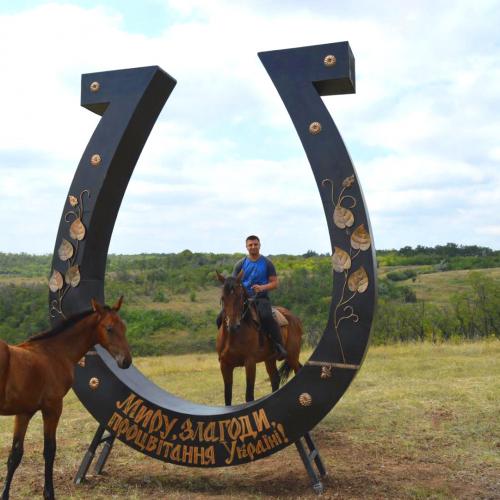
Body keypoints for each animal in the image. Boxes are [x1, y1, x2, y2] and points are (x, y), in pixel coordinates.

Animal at [0, 296, 131, 500]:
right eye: (109, 328)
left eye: (123, 327)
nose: (126, 361)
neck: (54, 353)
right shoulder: (53, 408)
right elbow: (49, 450)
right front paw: (49, 494)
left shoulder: (24, 412)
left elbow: (15, 455)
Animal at [214, 270, 300, 406]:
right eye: (223, 298)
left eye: (240, 297)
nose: (233, 325)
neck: (232, 337)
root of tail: (293, 317)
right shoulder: (225, 364)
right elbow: (227, 397)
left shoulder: (250, 362)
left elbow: (249, 396)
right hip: (270, 359)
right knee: (275, 378)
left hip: (292, 355)